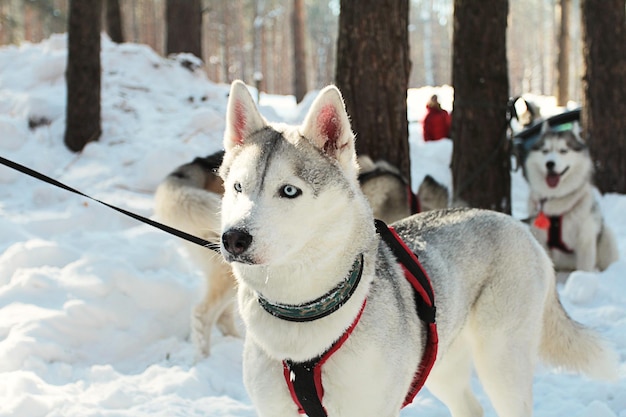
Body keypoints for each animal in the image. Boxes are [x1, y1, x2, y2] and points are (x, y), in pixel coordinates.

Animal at [520, 121, 620, 270]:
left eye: (563, 151)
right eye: (545, 151)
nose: (550, 164)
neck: (556, 201)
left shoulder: (585, 240)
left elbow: (584, 267)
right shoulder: (541, 239)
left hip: (607, 235)